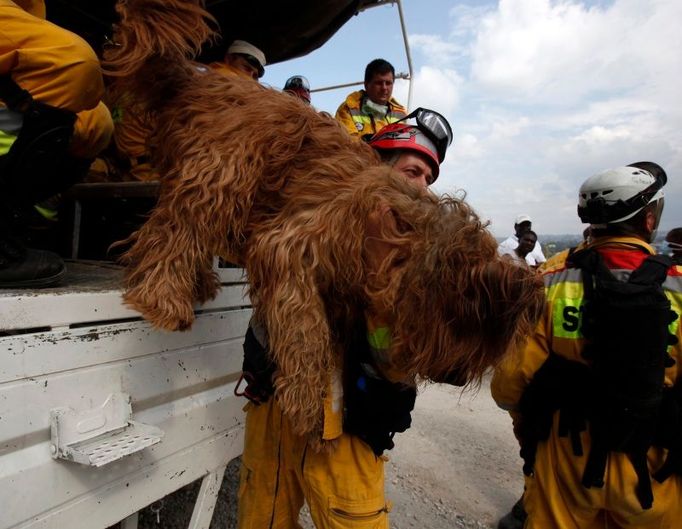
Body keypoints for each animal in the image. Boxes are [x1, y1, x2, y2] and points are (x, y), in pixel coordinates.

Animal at [106, 0, 540, 438]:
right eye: (466, 333)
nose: (455, 377)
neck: (404, 239)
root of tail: (201, 83)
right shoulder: (291, 241)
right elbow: (305, 327)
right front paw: (303, 401)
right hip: (222, 169)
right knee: (176, 228)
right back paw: (163, 299)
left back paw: (199, 284)